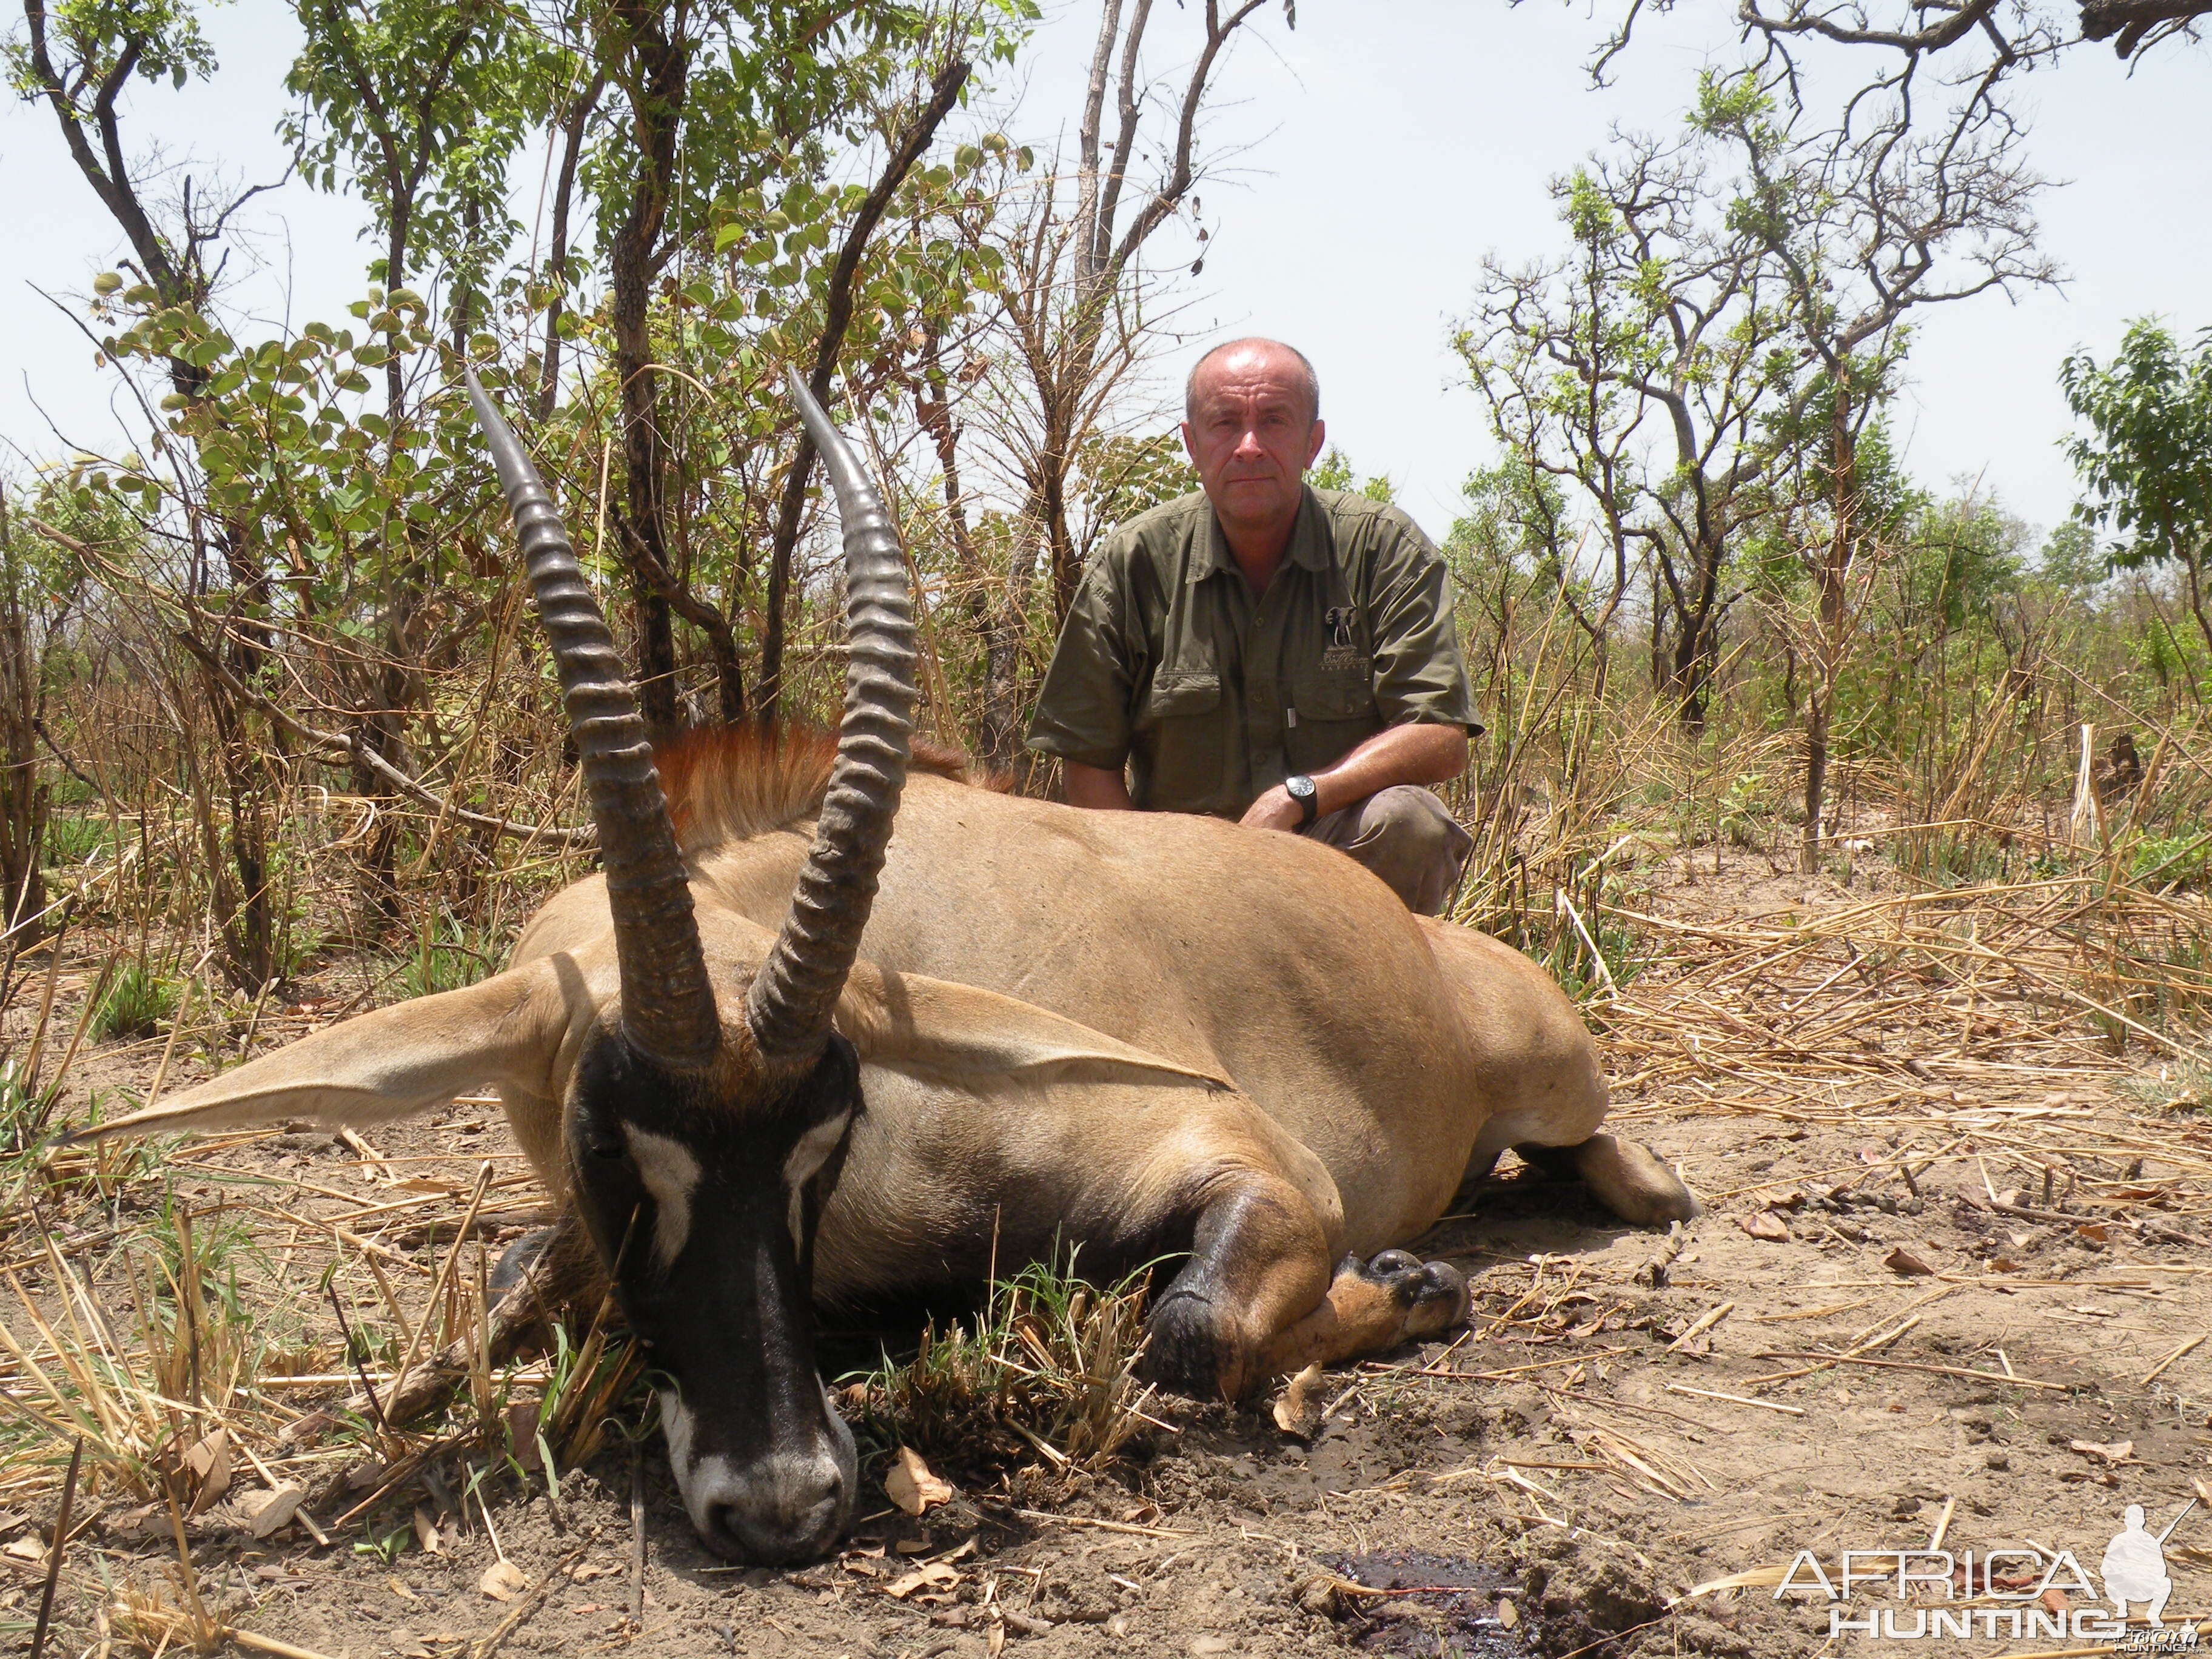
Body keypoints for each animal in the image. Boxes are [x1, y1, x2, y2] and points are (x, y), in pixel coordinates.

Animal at [69, 374, 1690, 1575]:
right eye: (609, 1142)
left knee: (1586, 1152)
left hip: (1551, 1077)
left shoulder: (1256, 1162)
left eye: (823, 1135)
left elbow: (1185, 1327)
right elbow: (509, 1296)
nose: (782, 1501)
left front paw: (1408, 1282)